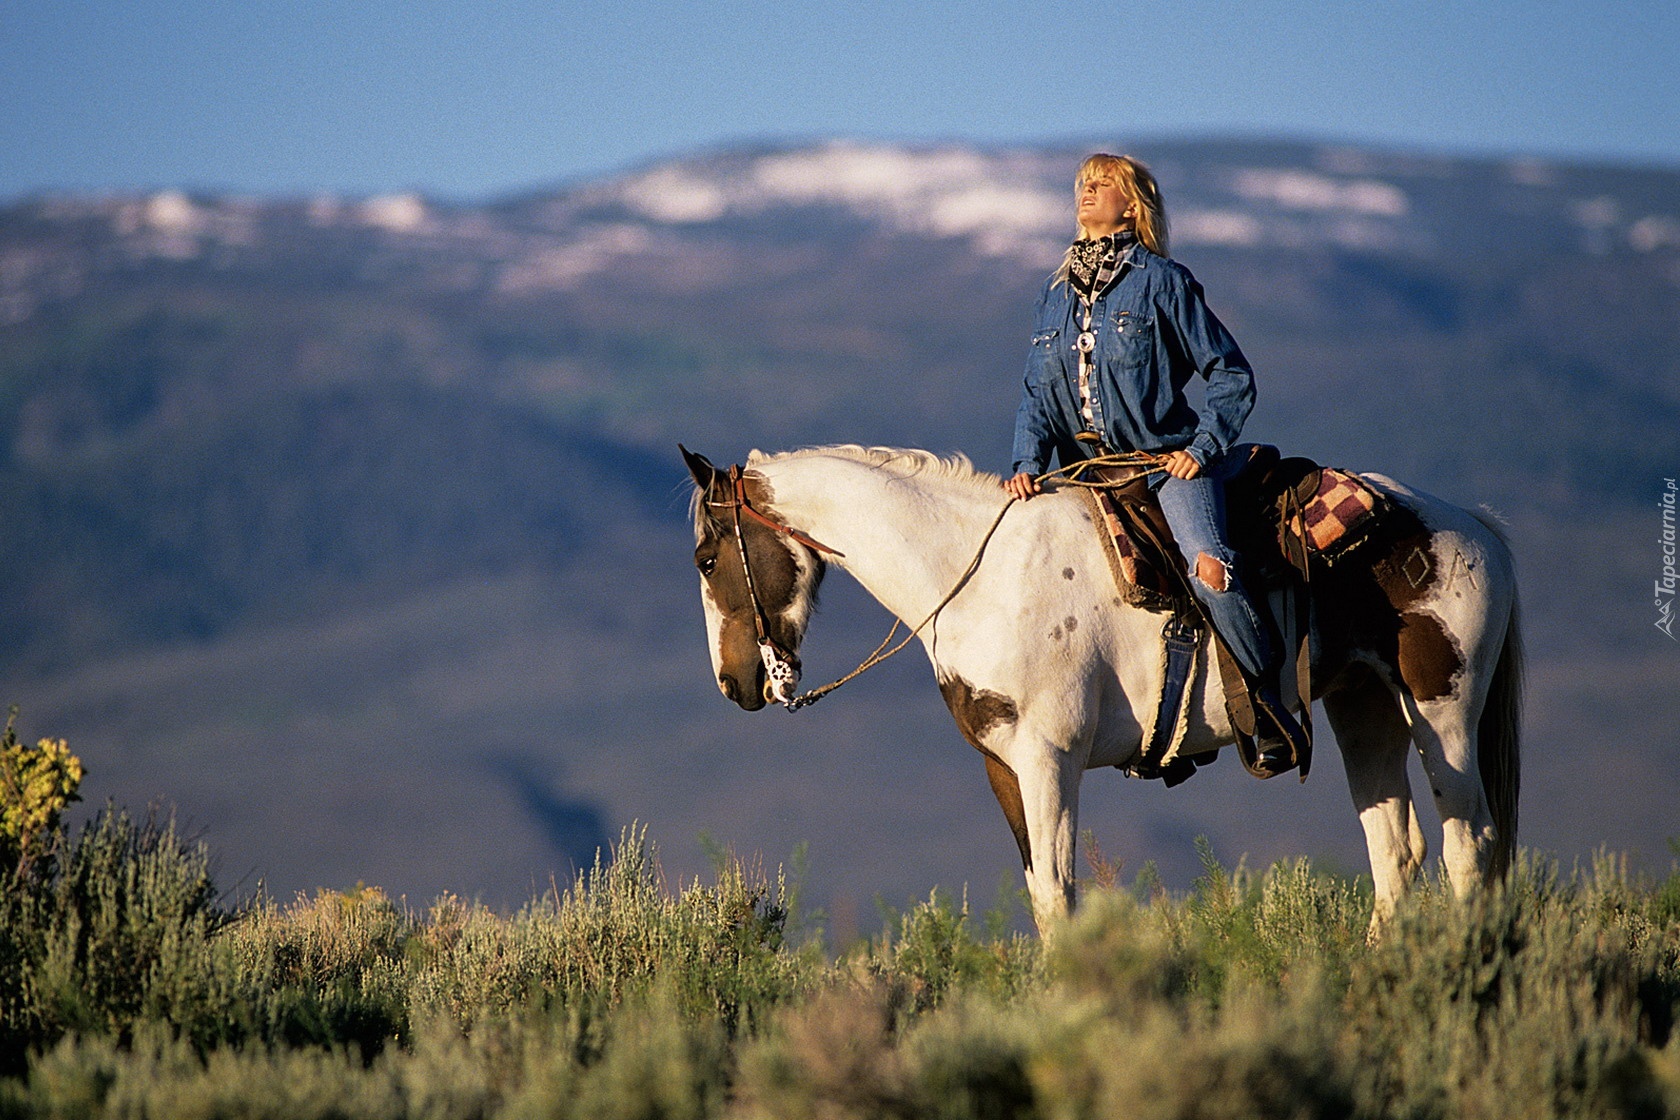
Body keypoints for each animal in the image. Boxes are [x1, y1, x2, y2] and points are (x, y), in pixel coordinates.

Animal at [682, 443, 1525, 933]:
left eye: (705, 557)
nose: (734, 684)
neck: (980, 576)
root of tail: (1471, 524)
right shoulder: (1003, 767)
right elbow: (1041, 895)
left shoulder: (1050, 758)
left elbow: (1060, 892)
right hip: (1365, 707)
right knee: (1397, 852)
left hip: (1443, 712)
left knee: (1470, 846)